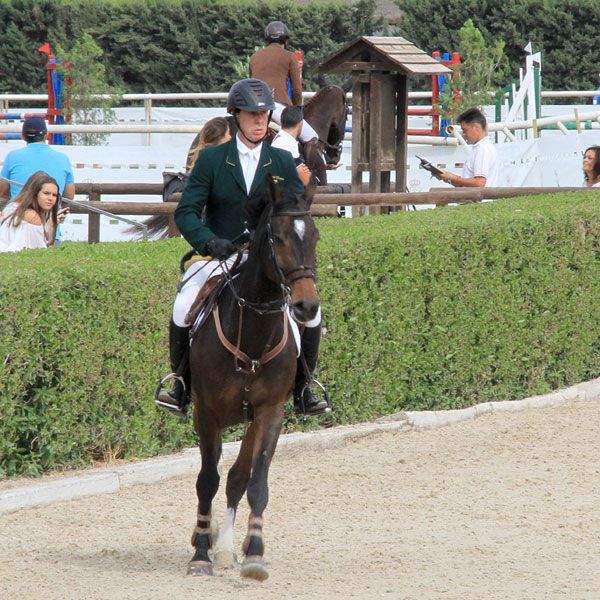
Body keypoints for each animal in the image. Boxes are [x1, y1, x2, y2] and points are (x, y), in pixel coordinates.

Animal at [188, 175, 322, 580]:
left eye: (315, 235)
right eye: (276, 237)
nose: (307, 306)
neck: (252, 335)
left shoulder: (270, 411)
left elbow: (255, 481)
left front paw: (254, 554)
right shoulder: (206, 414)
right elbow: (207, 480)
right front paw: (201, 554)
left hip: (251, 418)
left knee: (238, 478)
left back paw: (232, 547)